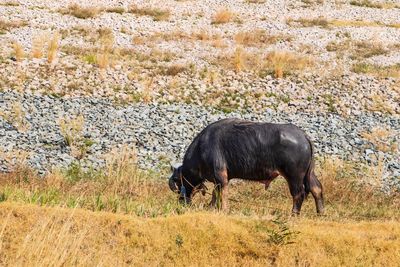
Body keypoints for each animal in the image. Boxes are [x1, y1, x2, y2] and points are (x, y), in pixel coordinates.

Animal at [169, 119, 324, 216]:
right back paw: (321, 213)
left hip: (294, 176)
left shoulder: (220, 175)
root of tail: (303, 136)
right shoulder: (220, 179)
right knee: (316, 189)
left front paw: (223, 209)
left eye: (178, 180)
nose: (181, 201)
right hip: (309, 173)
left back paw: (293, 214)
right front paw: (212, 207)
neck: (201, 148)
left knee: (298, 194)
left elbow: (222, 193)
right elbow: (215, 193)